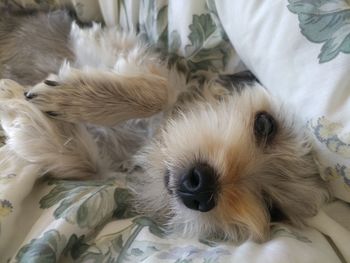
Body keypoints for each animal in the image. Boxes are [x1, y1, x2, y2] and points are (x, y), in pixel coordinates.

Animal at [0, 10, 328, 245]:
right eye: (264, 124)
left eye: (272, 208)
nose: (202, 188)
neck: (147, 141)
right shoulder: (105, 42)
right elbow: (158, 91)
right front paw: (69, 98)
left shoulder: (104, 163)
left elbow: (79, 160)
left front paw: (17, 107)